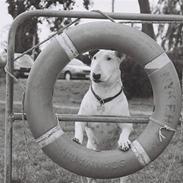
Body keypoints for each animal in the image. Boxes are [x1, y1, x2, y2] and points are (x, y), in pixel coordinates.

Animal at [73, 50, 133, 183]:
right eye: (94, 58)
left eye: (109, 58)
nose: (95, 75)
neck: (103, 97)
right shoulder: (82, 118)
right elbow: (78, 125)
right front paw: (77, 138)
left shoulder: (126, 123)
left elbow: (126, 130)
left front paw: (124, 142)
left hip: (124, 173)